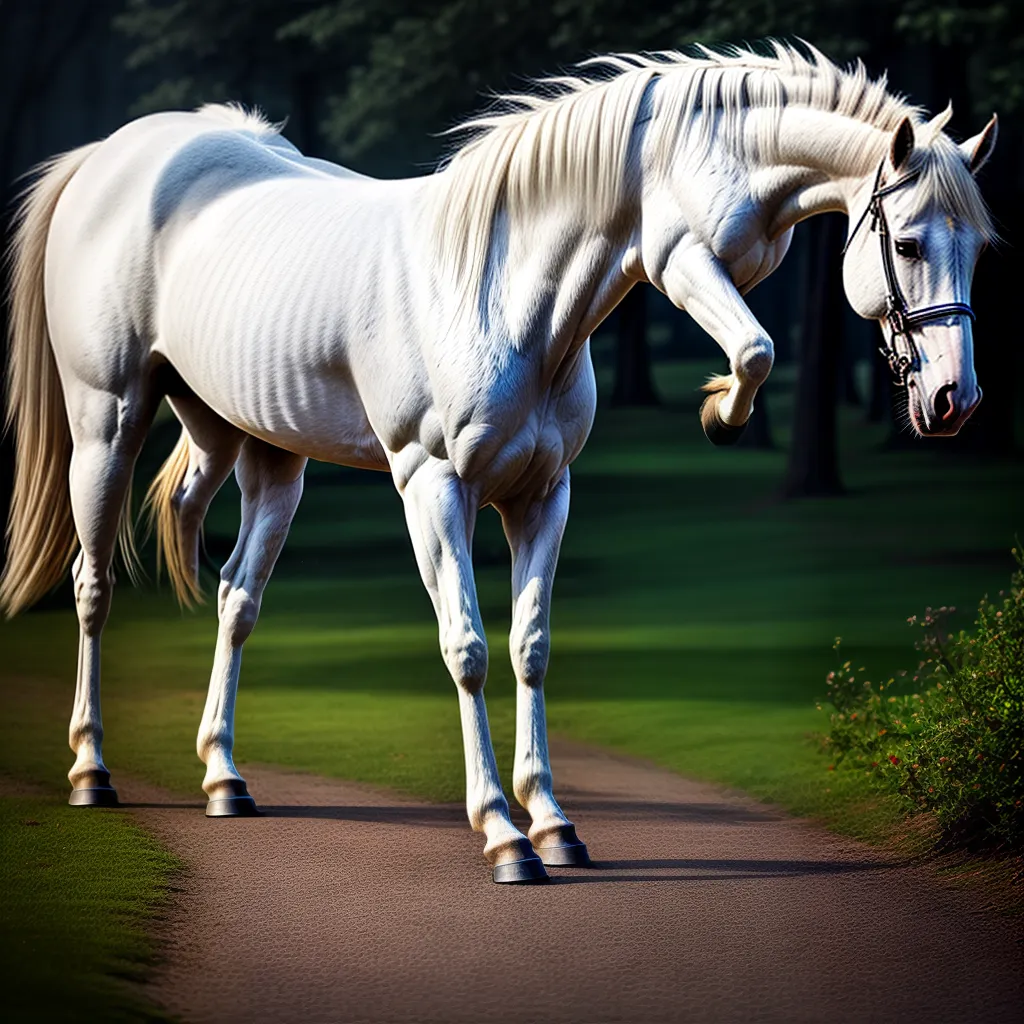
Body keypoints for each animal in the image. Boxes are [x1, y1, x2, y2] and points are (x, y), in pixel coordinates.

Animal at [1, 43, 996, 883]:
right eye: (908, 243)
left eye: (979, 249)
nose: (953, 400)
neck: (501, 287)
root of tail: (115, 156)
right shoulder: (432, 487)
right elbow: (470, 649)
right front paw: (503, 836)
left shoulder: (542, 497)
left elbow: (531, 647)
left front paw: (553, 824)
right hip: (106, 423)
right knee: (92, 586)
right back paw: (91, 769)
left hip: (269, 458)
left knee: (237, 599)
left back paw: (224, 780)